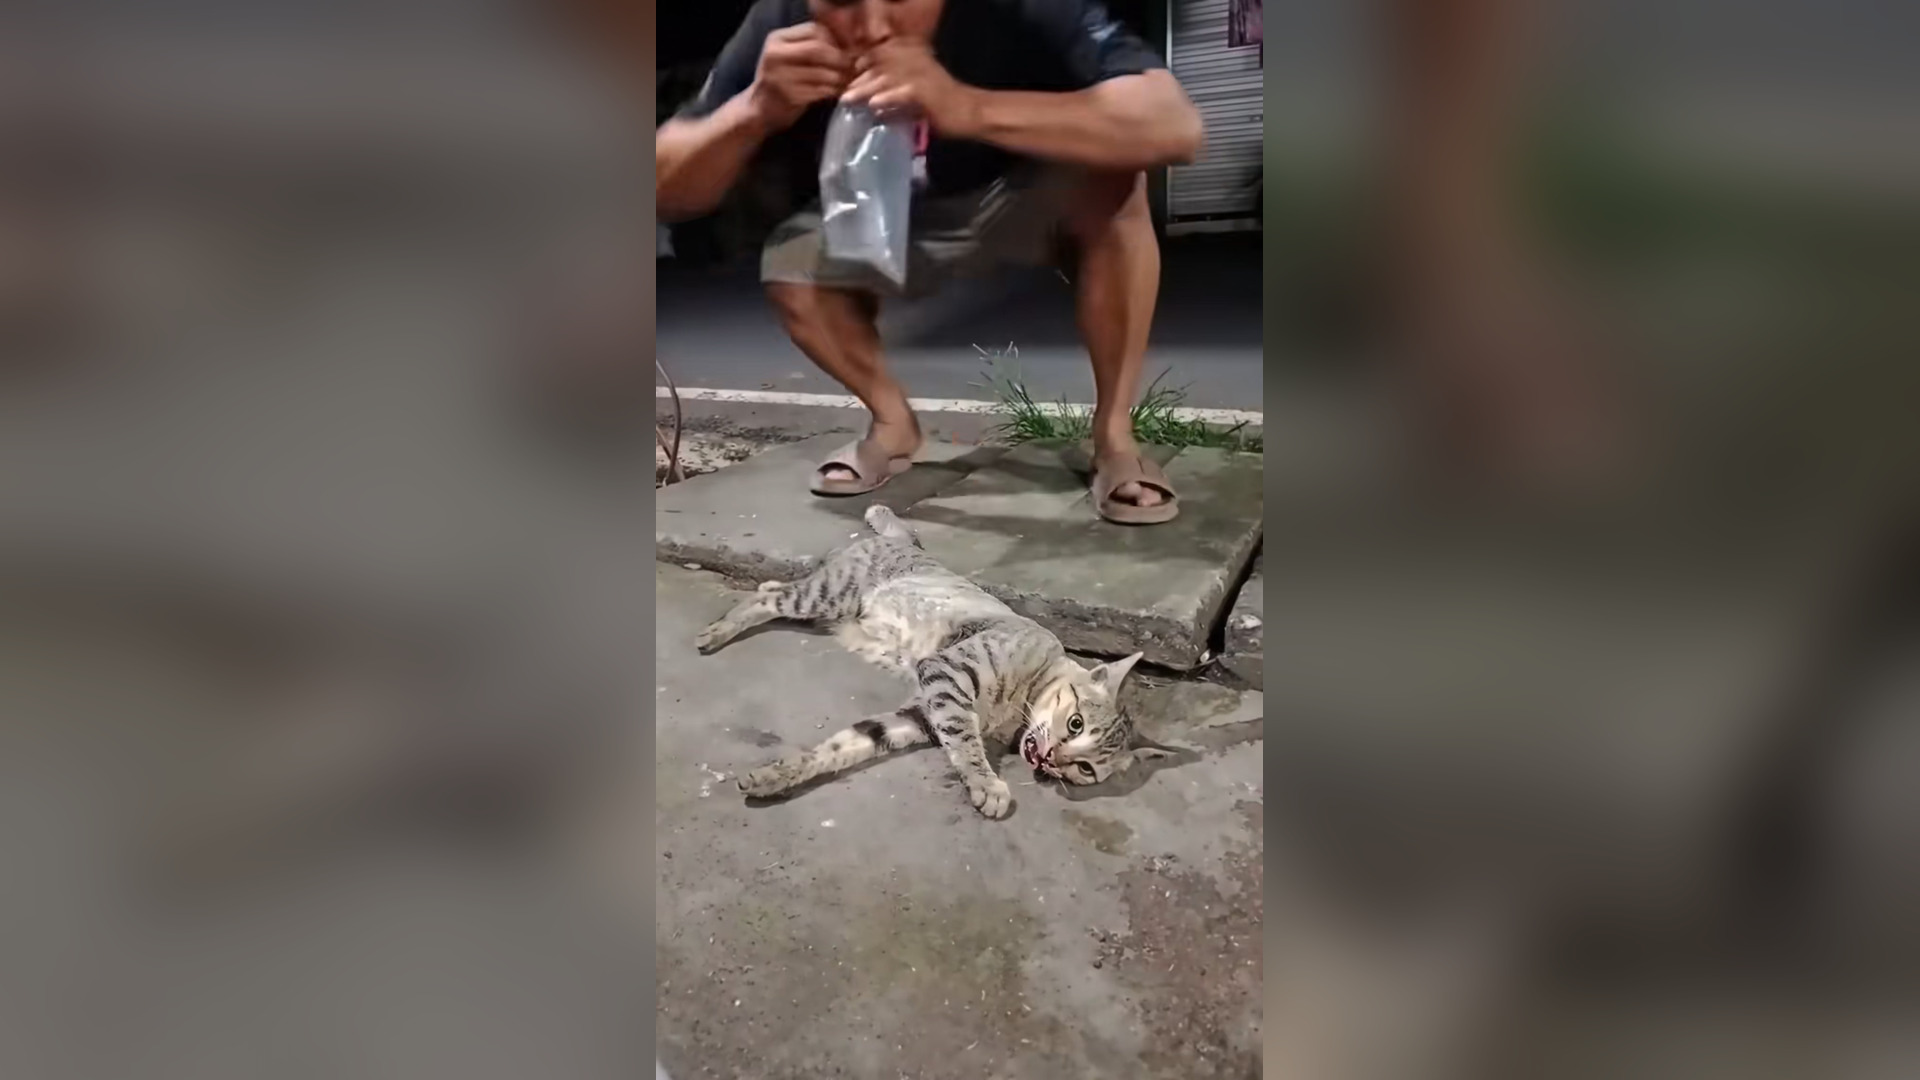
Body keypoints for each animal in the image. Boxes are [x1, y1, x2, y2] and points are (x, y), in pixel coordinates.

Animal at [695, 504, 1172, 818]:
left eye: (1085, 768)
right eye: (1075, 724)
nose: (1052, 760)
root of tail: (904, 541)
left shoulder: (918, 714)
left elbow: (842, 745)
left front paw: (778, 775)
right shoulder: (946, 676)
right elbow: (964, 739)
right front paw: (986, 783)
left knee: (773, 589)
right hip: (830, 595)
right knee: (767, 598)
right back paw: (716, 632)